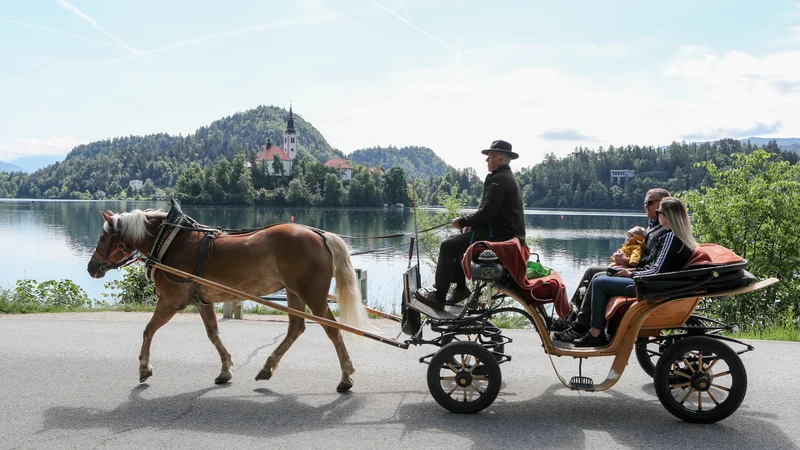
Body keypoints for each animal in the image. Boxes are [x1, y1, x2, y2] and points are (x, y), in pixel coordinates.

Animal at [86, 206, 374, 392]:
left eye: (103, 236)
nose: (91, 267)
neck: (170, 241)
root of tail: (320, 234)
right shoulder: (202, 301)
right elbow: (213, 334)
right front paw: (225, 369)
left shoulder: (170, 301)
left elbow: (148, 330)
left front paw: (144, 368)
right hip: (294, 293)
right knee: (296, 328)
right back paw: (267, 367)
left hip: (312, 294)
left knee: (333, 330)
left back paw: (346, 377)